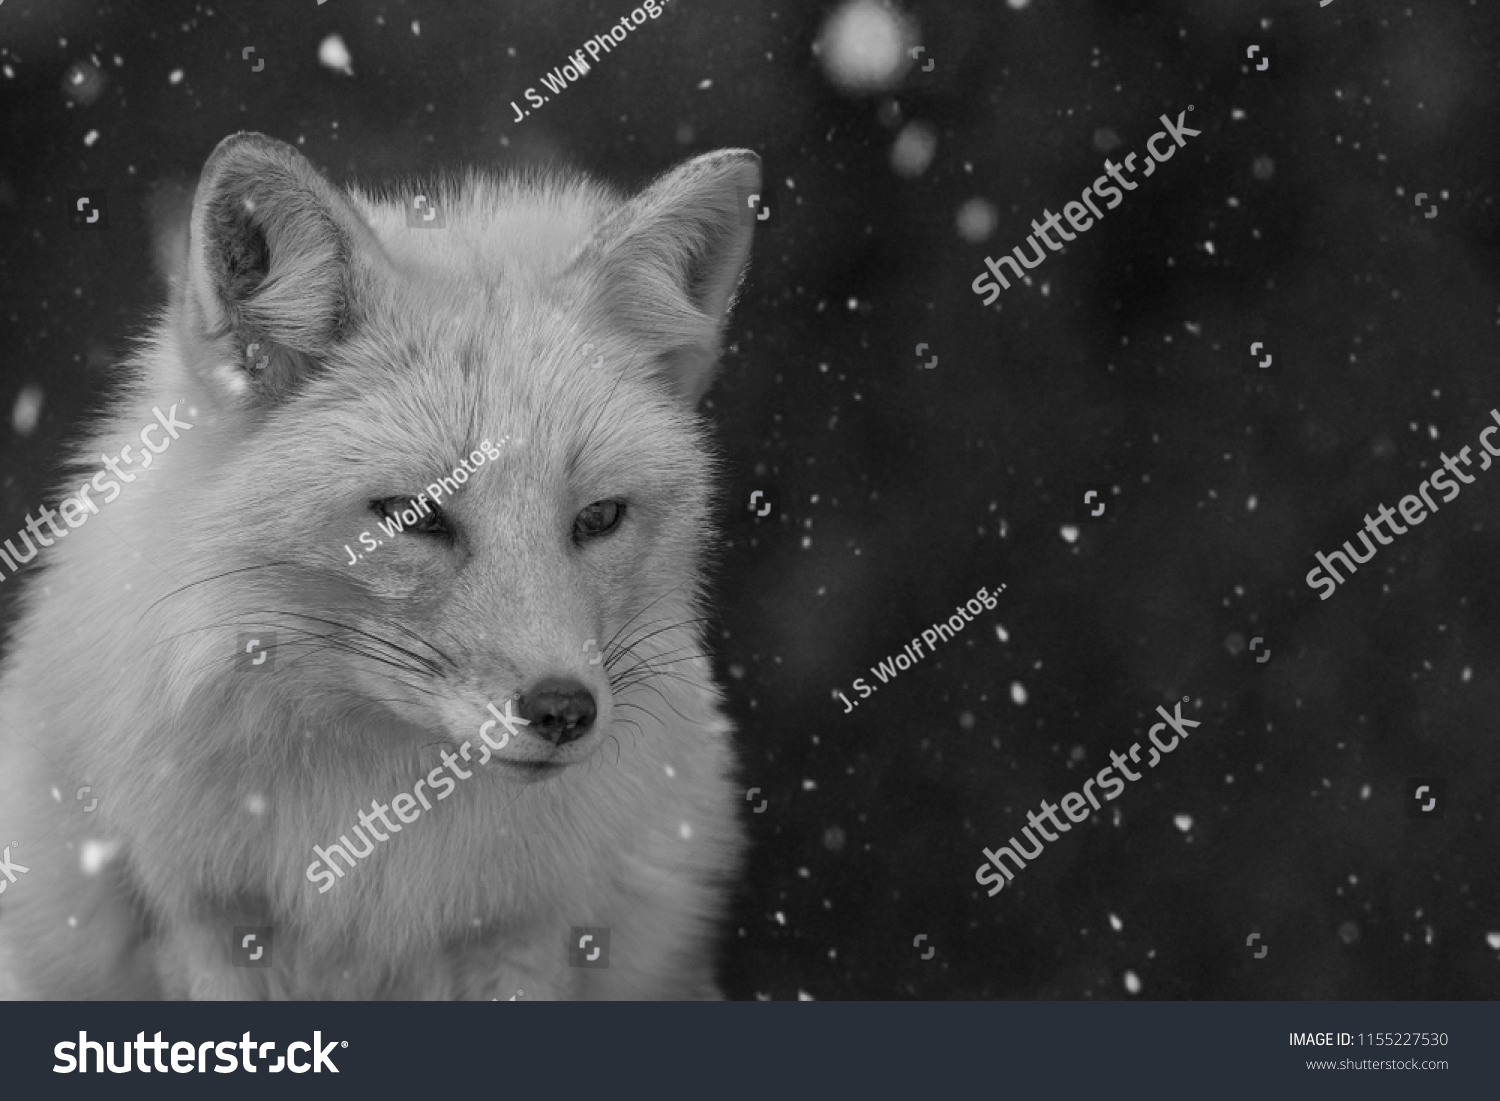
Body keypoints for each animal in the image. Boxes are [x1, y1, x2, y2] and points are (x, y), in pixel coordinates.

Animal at [0, 133, 760, 999]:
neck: (371, 851)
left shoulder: (521, 930)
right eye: (414, 516)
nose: (564, 710)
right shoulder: (206, 920)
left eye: (598, 518)